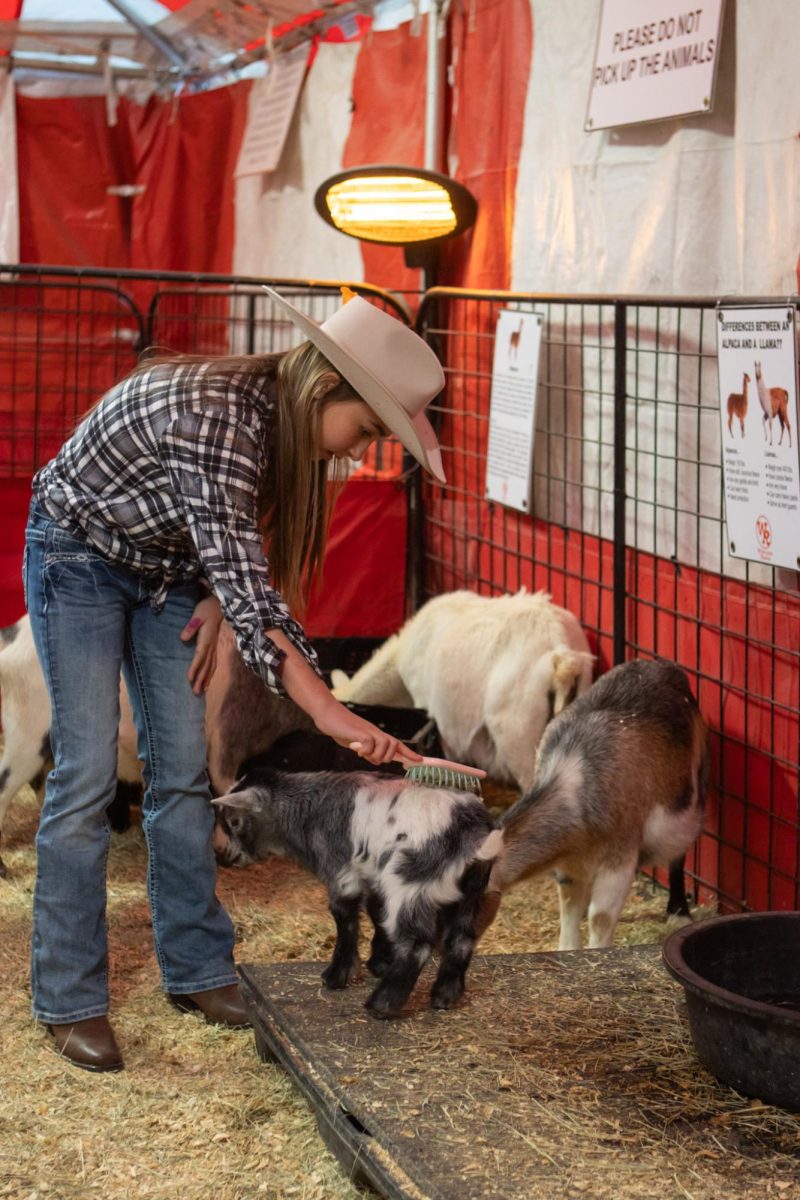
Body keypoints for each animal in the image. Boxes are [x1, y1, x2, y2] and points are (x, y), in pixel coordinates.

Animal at [484, 662, 710, 950]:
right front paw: (568, 948)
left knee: (678, 855)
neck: (573, 778)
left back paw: (678, 912)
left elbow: (601, 916)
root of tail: (662, 665)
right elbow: (569, 903)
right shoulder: (568, 861)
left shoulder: (619, 857)